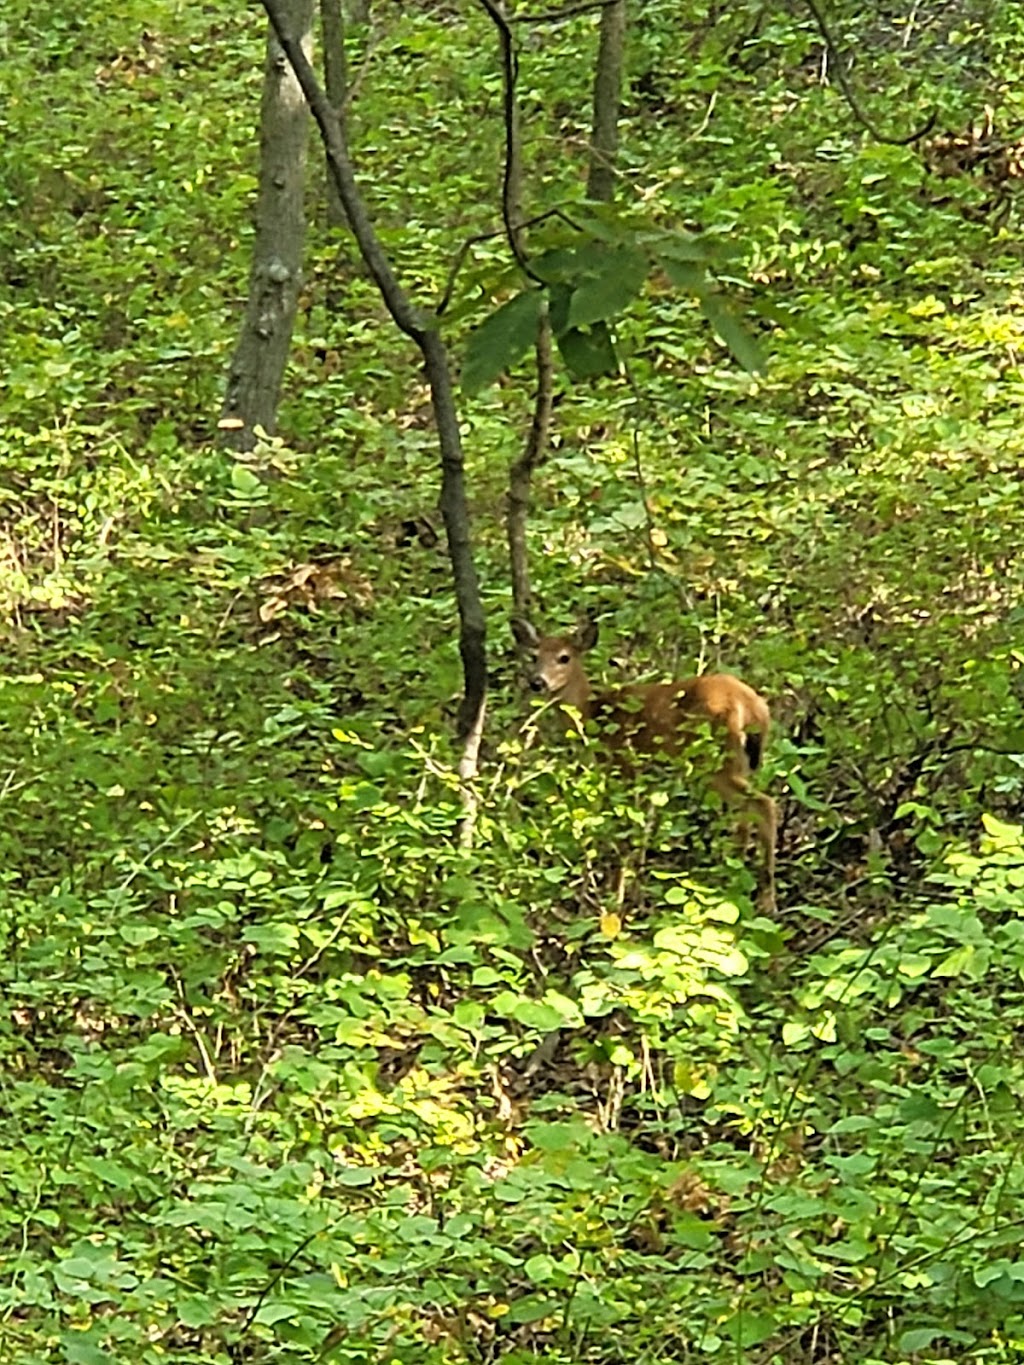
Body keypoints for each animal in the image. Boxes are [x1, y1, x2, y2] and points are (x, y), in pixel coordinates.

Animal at [513, 619, 775, 917]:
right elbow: (645, 829)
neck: (595, 714)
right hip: (744, 763)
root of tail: (753, 707)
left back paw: (764, 896)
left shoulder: (623, 766)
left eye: (564, 657)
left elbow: (624, 832)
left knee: (763, 805)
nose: (537, 682)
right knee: (746, 814)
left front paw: (615, 897)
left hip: (716, 760)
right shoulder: (650, 777)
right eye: (534, 656)